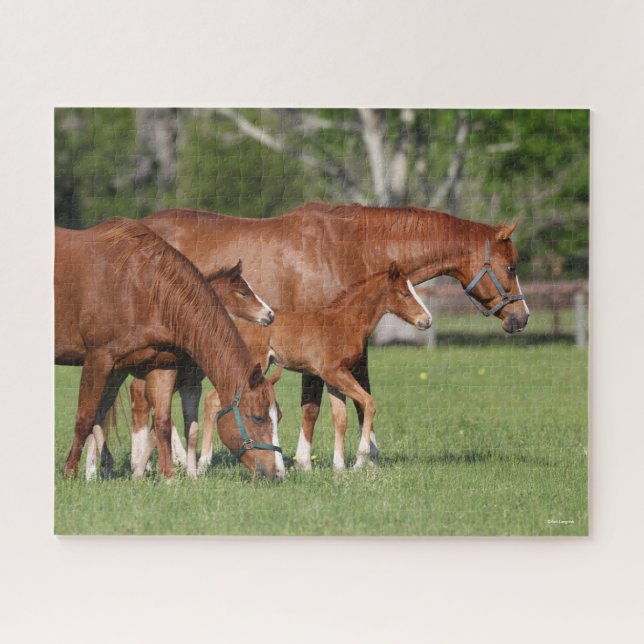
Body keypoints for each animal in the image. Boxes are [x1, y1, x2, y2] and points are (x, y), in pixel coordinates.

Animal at [84, 260, 276, 480]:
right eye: (244, 293)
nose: (270, 314)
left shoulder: (188, 383)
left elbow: (175, 427)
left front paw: (186, 472)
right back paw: (94, 471)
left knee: (102, 412)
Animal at [197, 262, 431, 471]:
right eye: (405, 293)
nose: (427, 320)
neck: (345, 322)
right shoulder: (334, 372)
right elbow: (368, 403)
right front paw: (360, 459)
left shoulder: (334, 378)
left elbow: (340, 417)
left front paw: (339, 467)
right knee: (213, 399)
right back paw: (203, 463)